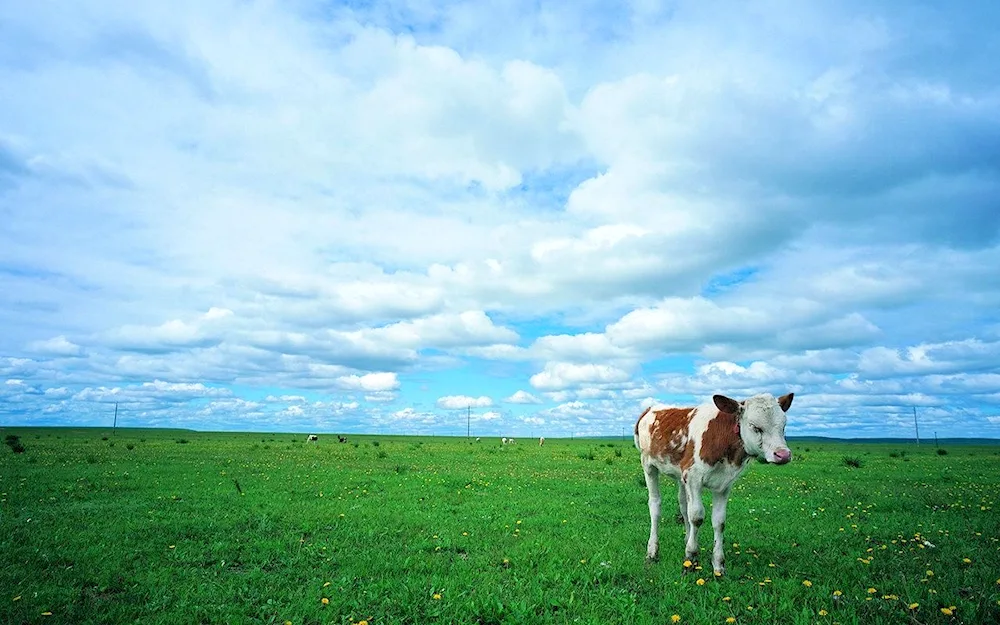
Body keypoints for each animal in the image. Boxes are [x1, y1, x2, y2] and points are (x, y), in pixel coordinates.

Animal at [636, 390, 792, 576]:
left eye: (783, 426)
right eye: (755, 426)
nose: (783, 455)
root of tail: (651, 408)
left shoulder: (724, 484)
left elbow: (719, 521)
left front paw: (718, 564)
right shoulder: (693, 477)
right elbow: (696, 517)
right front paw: (690, 558)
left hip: (679, 475)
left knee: (683, 505)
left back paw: (686, 539)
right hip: (648, 465)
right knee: (655, 505)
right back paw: (652, 551)